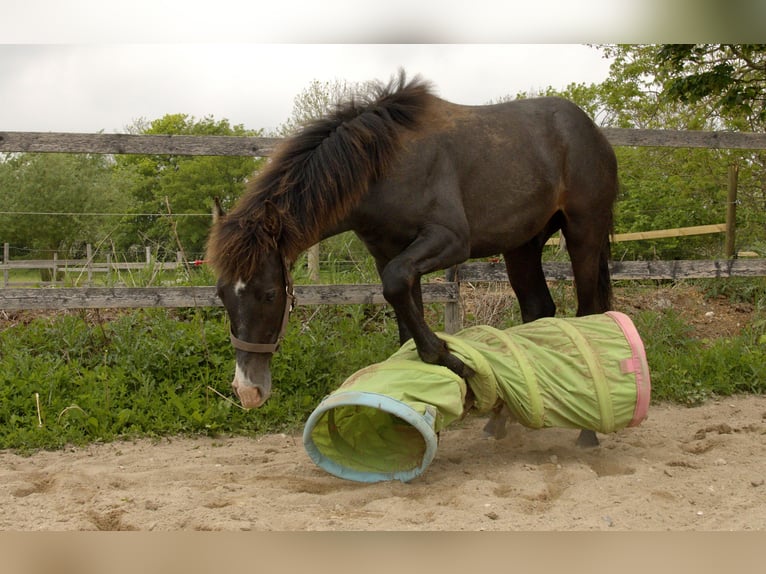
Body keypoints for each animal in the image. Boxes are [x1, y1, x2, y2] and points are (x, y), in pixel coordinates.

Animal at [206, 71, 618, 447]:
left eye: (270, 294)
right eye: (221, 295)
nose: (248, 391)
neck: (384, 168)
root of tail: (592, 131)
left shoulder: (447, 241)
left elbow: (396, 288)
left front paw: (456, 364)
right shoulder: (389, 254)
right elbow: (404, 316)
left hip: (584, 232)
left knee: (589, 311)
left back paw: (589, 430)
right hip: (522, 245)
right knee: (538, 309)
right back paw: (501, 420)